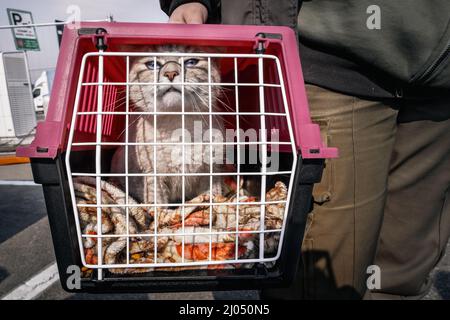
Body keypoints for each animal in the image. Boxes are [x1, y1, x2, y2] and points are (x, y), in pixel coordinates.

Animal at [17, 21, 338, 292]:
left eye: (191, 62)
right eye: (153, 65)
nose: (171, 73)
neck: (179, 127)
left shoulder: (211, 177)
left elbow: (210, 205)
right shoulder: (153, 181)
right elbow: (158, 214)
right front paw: (159, 232)